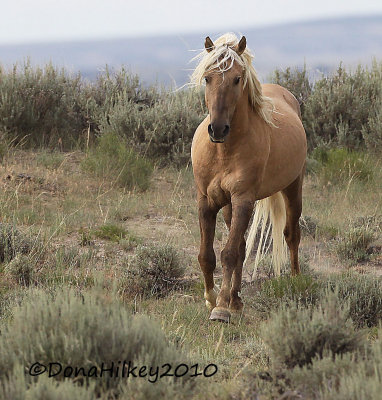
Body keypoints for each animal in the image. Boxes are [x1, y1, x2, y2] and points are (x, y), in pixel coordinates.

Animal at [191, 33, 308, 322]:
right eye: (207, 78)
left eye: (236, 79)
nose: (218, 129)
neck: (223, 151)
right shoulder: (206, 202)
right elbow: (207, 255)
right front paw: (212, 298)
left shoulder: (243, 199)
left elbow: (229, 253)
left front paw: (221, 307)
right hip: (229, 207)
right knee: (244, 246)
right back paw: (236, 299)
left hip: (293, 187)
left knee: (292, 235)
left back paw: (295, 280)